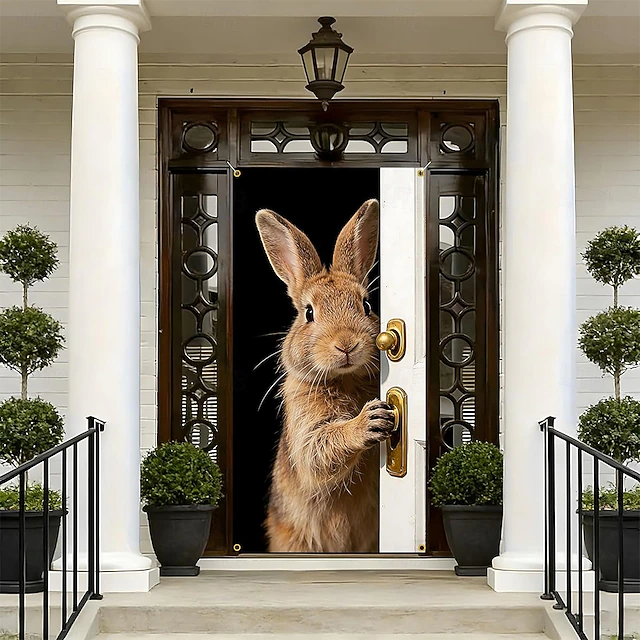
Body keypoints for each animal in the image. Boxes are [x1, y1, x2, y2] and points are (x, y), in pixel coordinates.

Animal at [255, 199, 396, 553]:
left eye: (366, 305)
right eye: (308, 313)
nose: (346, 344)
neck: (344, 378)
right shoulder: (306, 425)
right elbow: (318, 451)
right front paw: (370, 421)